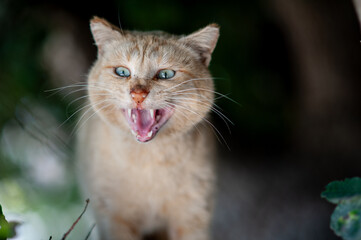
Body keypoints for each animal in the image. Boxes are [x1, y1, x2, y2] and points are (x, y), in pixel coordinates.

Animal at [76, 16, 219, 240]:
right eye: (122, 72)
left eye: (166, 74)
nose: (138, 94)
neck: (149, 161)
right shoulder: (115, 219)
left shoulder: (193, 216)